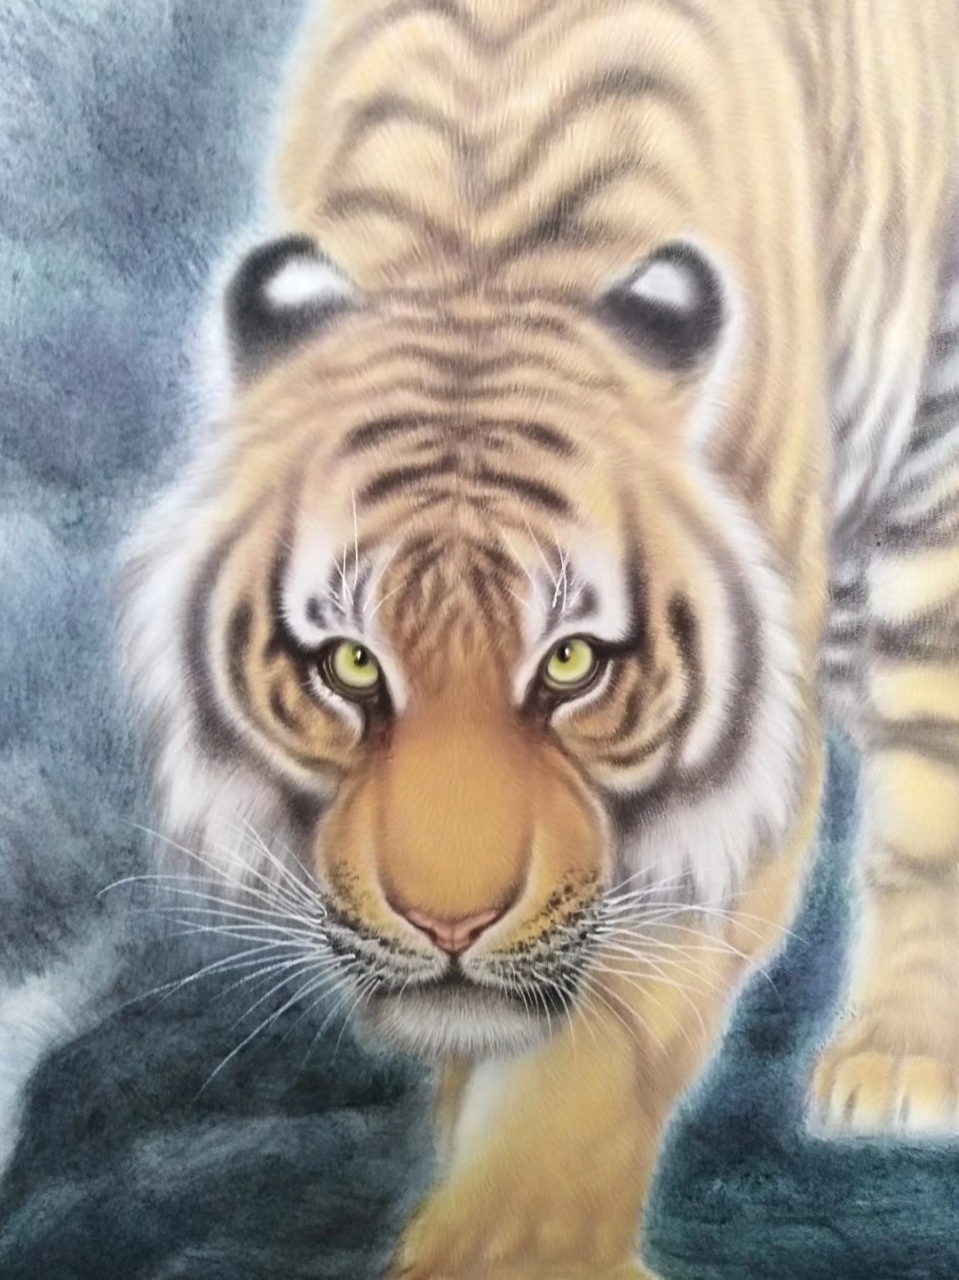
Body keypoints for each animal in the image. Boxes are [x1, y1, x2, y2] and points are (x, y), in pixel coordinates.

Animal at [118, 0, 959, 1276]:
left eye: (570, 660)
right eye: (350, 662)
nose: (449, 925)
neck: (480, 249)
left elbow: (586, 1061)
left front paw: (495, 1241)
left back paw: (898, 1056)